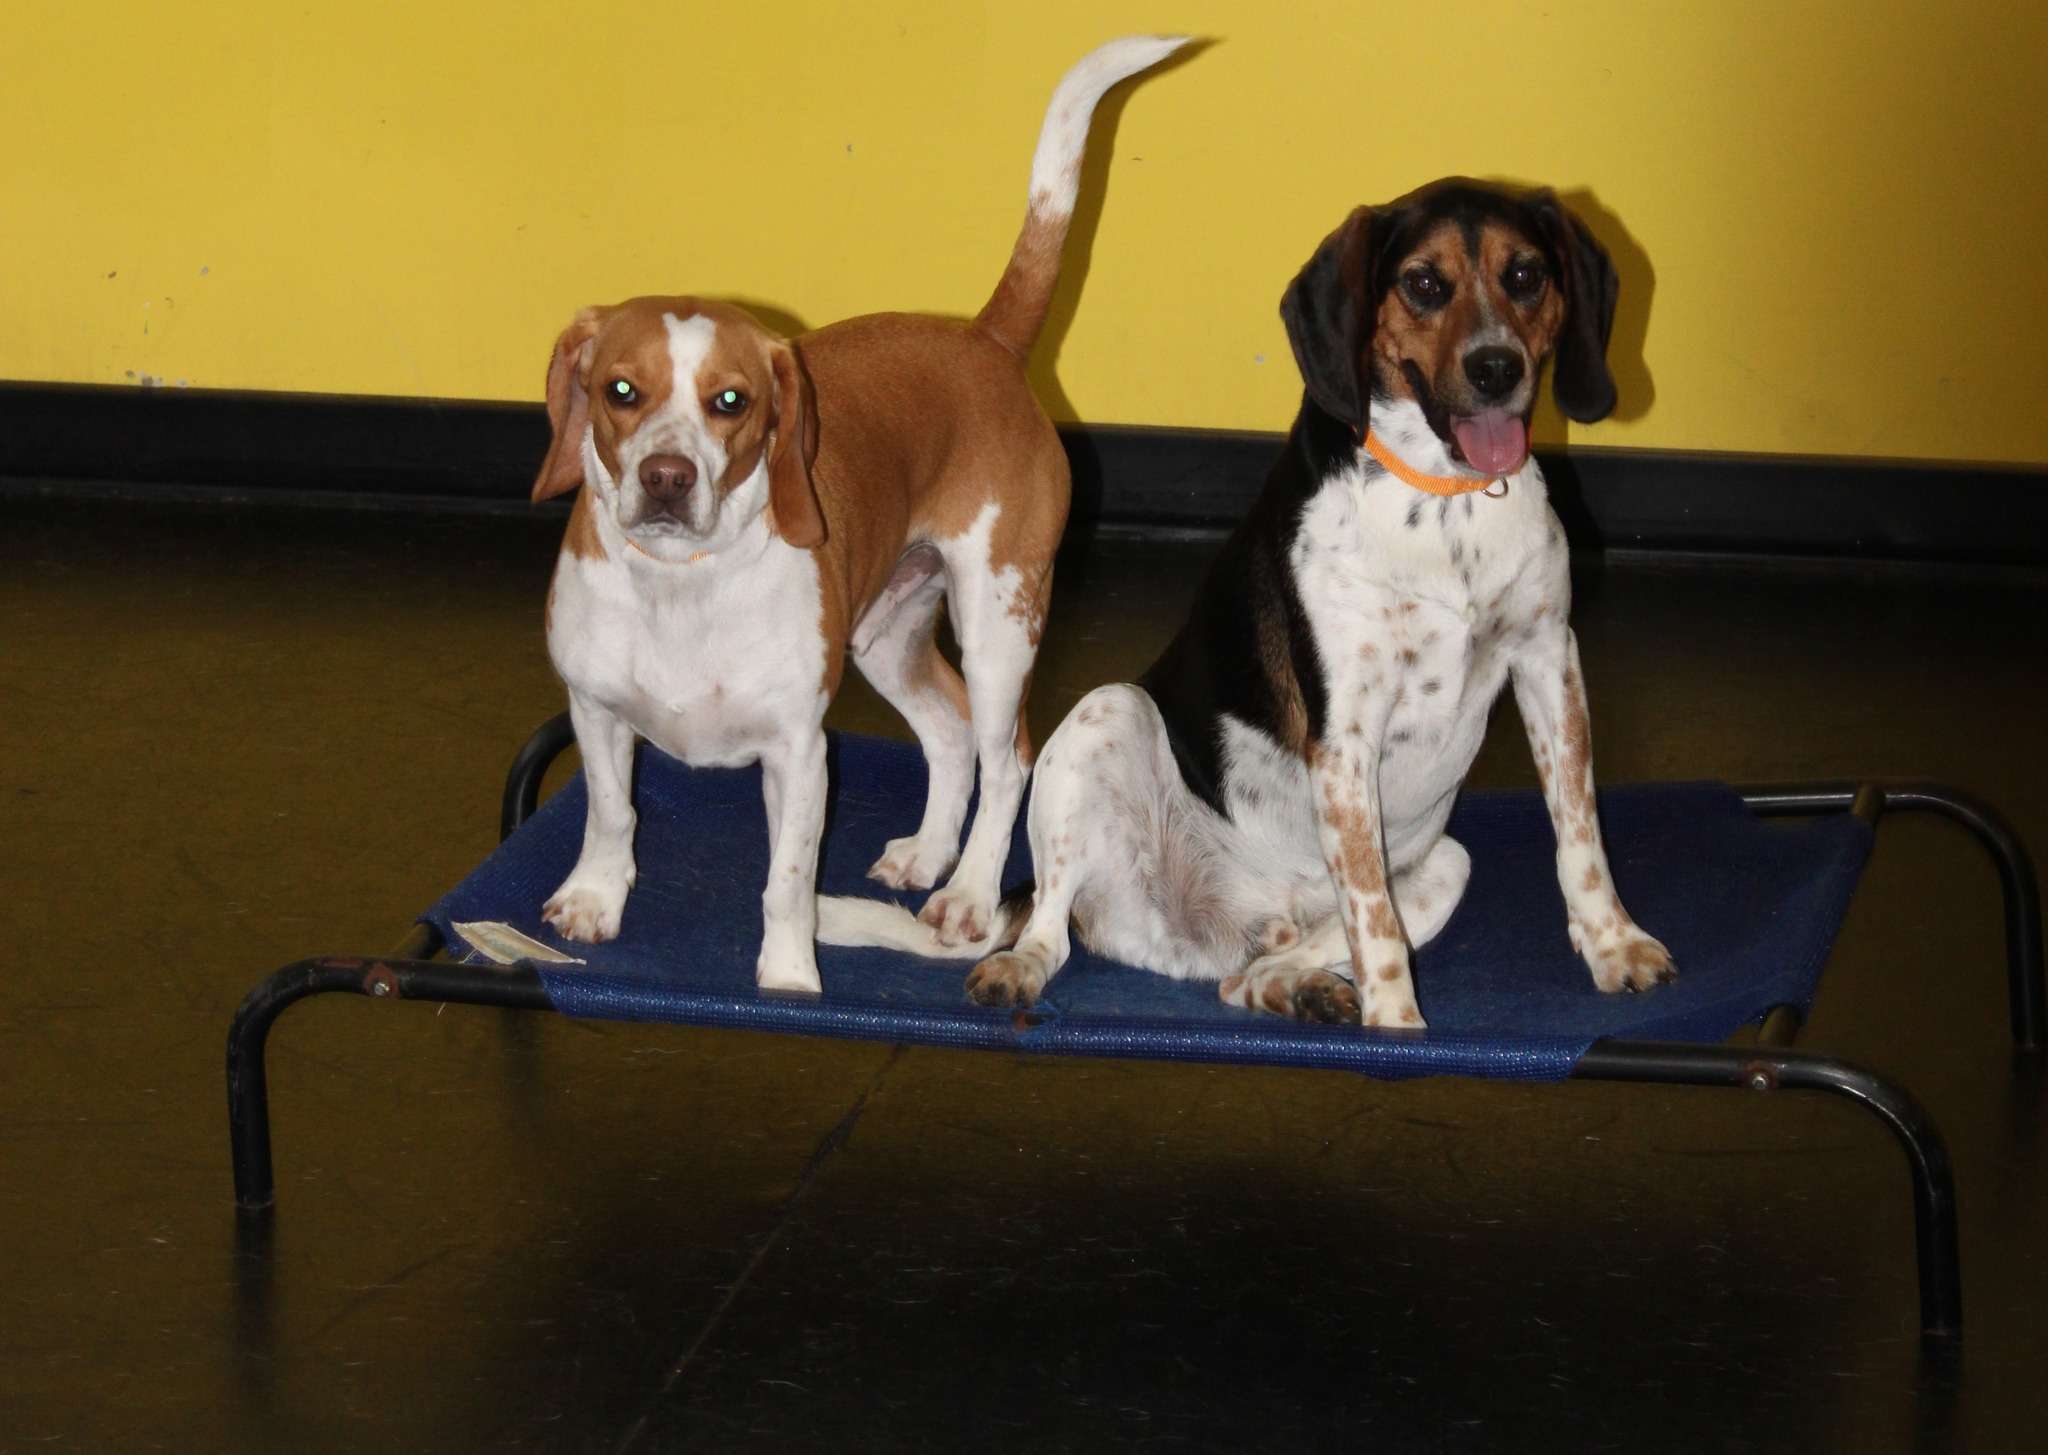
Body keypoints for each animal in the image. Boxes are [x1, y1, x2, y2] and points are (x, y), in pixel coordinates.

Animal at [536, 34, 1196, 995]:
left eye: (731, 401)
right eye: (621, 390)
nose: (666, 477)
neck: (683, 586)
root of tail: (986, 340)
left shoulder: (801, 754)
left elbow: (786, 880)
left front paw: (788, 977)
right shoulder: (595, 711)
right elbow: (611, 814)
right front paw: (595, 896)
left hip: (1000, 626)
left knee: (1008, 761)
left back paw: (968, 891)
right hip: (887, 635)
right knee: (951, 737)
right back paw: (928, 852)